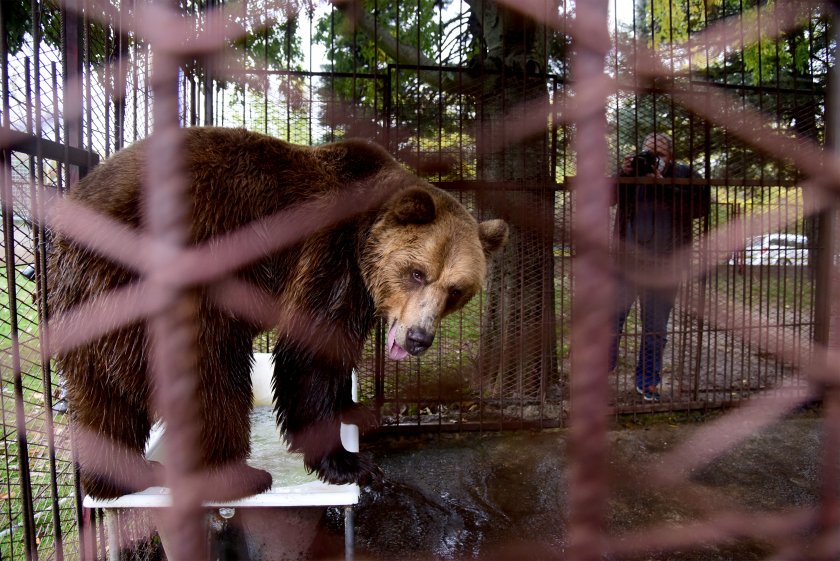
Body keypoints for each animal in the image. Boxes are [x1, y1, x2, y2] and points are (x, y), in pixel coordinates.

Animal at [49, 127, 508, 498]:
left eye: (456, 290)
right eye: (416, 273)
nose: (418, 338)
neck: (364, 242)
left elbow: (336, 349)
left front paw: (356, 410)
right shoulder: (328, 252)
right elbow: (308, 352)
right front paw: (348, 462)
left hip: (88, 305)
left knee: (102, 400)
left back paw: (123, 476)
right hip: (153, 280)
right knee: (210, 372)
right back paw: (236, 476)